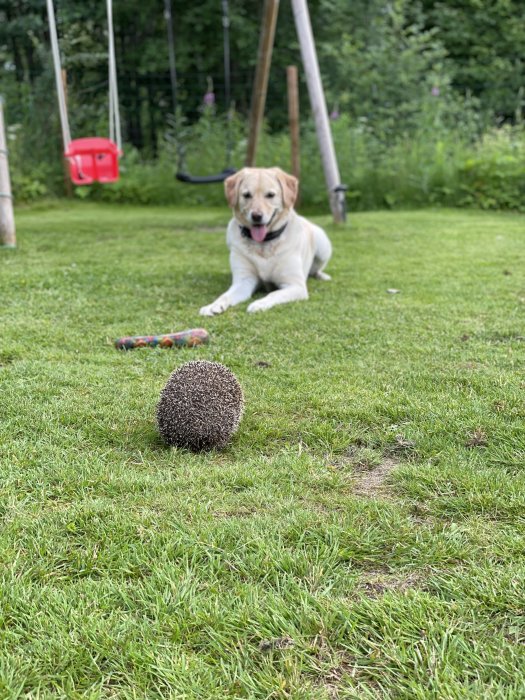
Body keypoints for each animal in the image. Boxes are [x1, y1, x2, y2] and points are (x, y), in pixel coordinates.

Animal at [199, 167, 330, 314]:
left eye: (270, 195)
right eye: (247, 195)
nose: (256, 216)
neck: (264, 243)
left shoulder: (296, 285)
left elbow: (274, 293)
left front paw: (259, 303)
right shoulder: (244, 281)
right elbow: (225, 295)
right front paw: (213, 305)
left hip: (323, 246)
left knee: (316, 269)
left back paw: (322, 276)